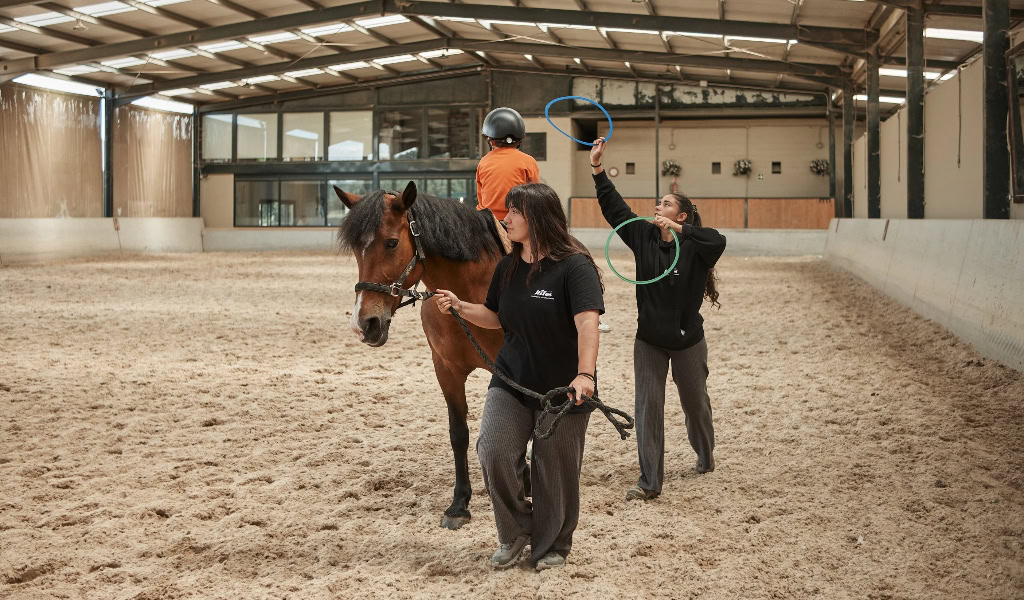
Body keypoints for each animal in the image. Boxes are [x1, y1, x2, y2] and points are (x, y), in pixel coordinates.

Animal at [334, 180, 510, 530]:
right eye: (357, 250)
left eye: (391, 243)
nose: (365, 324)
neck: (469, 295)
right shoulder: (446, 370)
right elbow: (459, 434)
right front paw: (459, 504)